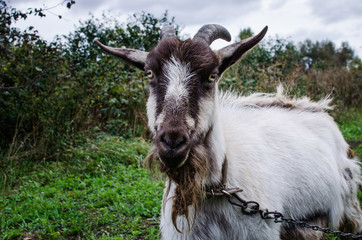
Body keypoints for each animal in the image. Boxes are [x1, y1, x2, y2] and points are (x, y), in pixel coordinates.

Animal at [96, 24, 362, 240]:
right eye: (149, 73)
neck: (217, 191)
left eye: (212, 75)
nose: (172, 142)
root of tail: (322, 111)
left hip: (347, 210)